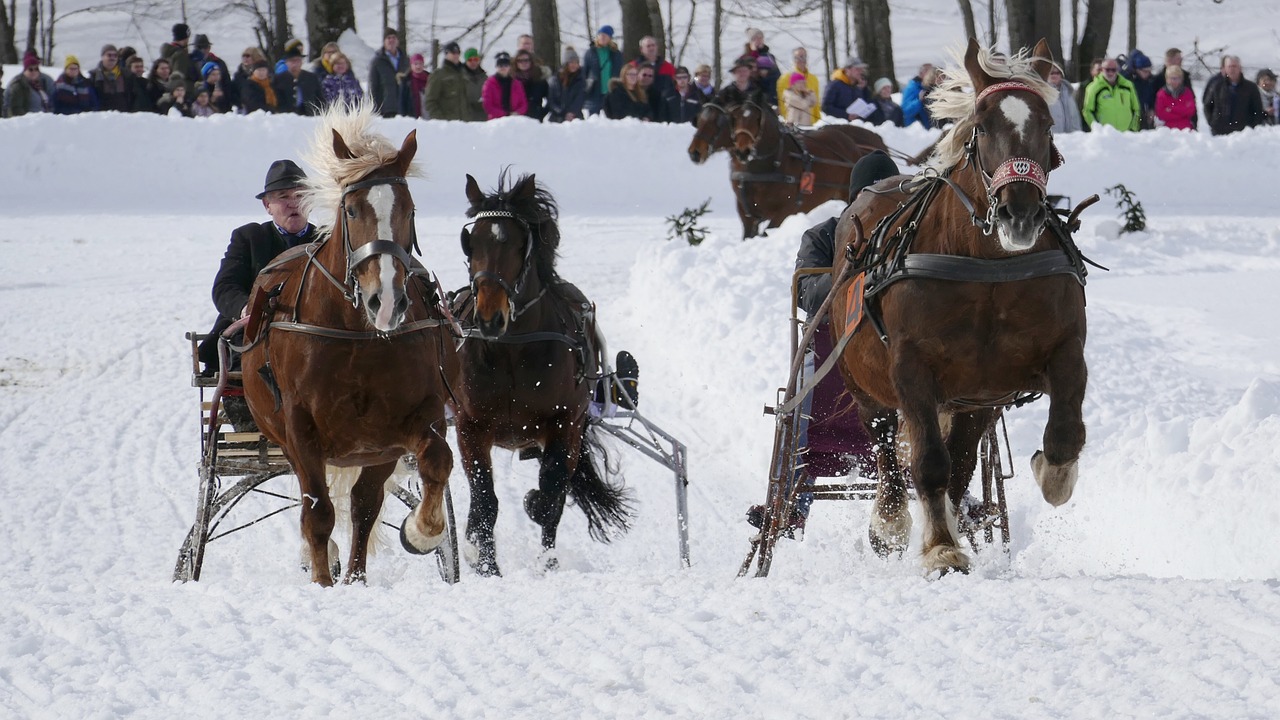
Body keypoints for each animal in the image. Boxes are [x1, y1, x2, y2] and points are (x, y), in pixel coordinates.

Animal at [240, 99, 460, 584]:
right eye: (353, 210)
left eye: (409, 209)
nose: (387, 300)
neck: (359, 337)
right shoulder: (300, 430)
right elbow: (318, 515)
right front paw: (322, 580)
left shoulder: (412, 419)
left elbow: (437, 459)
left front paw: (421, 532)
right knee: (321, 508)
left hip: (375, 449)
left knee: (364, 505)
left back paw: (357, 577)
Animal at [453, 169, 632, 571]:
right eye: (470, 242)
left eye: (519, 244)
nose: (489, 318)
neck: (512, 348)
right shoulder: (470, 425)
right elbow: (484, 499)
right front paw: (485, 562)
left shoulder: (565, 423)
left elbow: (550, 496)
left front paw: (535, 508)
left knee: (557, 493)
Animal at [829, 40, 1090, 576]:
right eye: (982, 127)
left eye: (1047, 126)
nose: (1020, 213)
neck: (985, 269)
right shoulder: (911, 367)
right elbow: (928, 461)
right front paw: (941, 547)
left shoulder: (1051, 355)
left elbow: (1063, 434)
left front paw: (1050, 471)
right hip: (863, 385)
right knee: (886, 449)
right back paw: (891, 519)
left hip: (973, 402)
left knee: (963, 462)